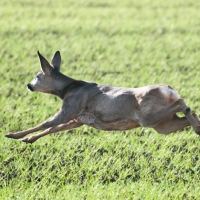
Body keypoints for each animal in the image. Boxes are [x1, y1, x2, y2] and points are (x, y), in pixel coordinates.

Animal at [5, 50, 200, 143]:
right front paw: (27, 140)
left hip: (147, 117)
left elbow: (46, 124)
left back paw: (195, 124)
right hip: (163, 124)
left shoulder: (70, 107)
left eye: (38, 75)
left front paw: (13, 135)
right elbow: (53, 129)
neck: (67, 89)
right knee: (185, 114)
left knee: (183, 103)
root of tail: (169, 90)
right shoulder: (79, 119)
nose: (29, 85)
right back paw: (197, 126)